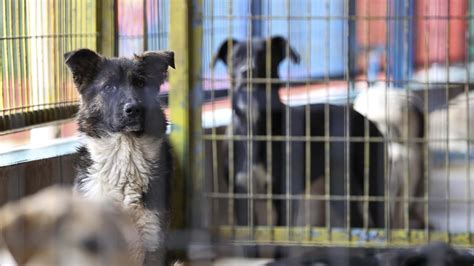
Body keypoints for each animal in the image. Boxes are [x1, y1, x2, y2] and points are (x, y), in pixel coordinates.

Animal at [213, 36, 386, 244]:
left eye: (265, 55)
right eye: (235, 57)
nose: (248, 71)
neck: (253, 125)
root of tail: (365, 118)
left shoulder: (284, 197)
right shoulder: (240, 196)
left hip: (373, 186)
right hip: (340, 190)